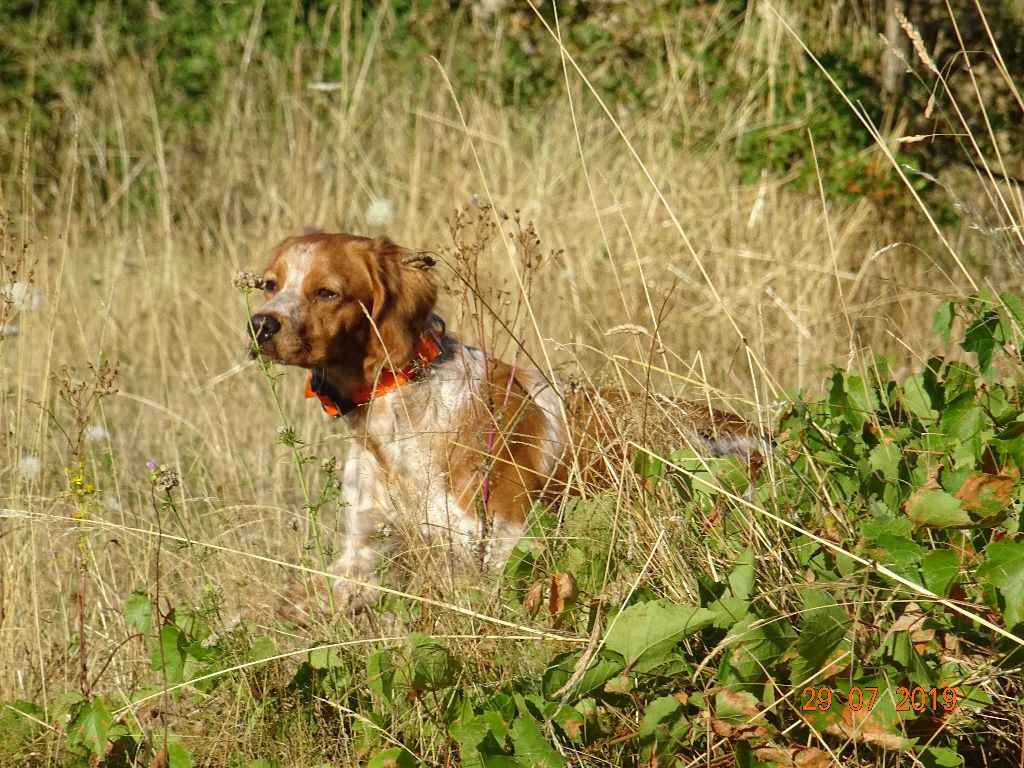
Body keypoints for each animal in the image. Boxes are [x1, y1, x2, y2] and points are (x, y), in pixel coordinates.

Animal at [248, 231, 761, 618]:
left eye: (327, 292)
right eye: (270, 285)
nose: (261, 325)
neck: (397, 411)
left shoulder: (500, 547)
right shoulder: (361, 556)